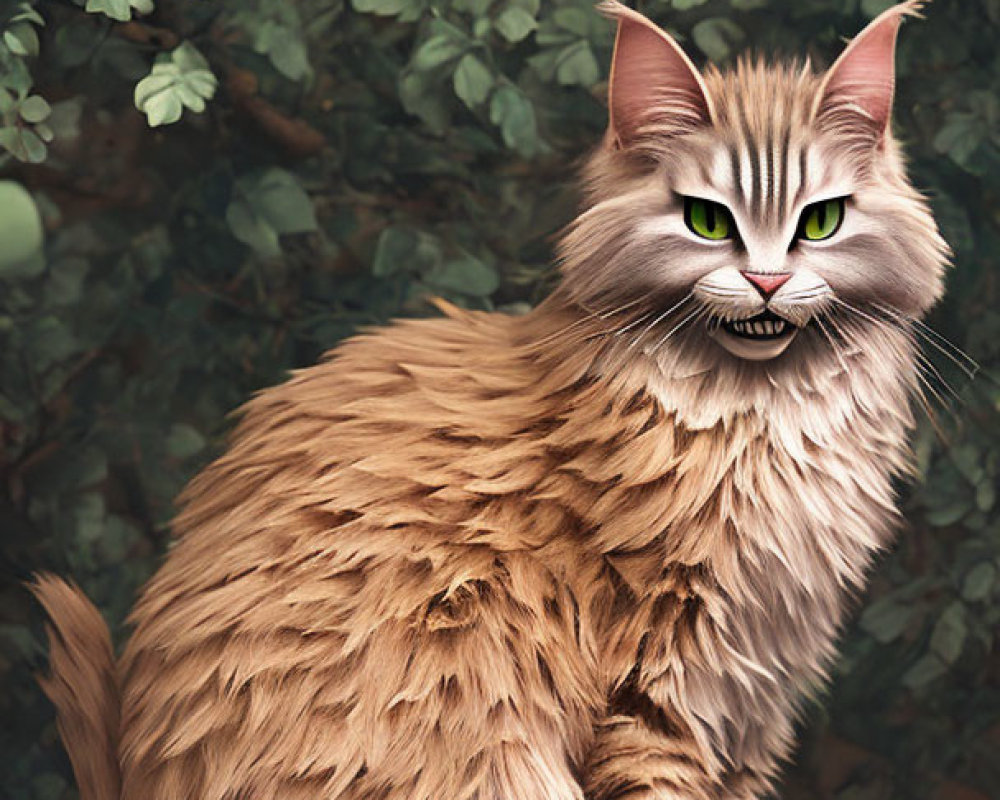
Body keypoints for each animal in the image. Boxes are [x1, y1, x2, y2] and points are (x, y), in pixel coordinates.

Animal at [35, 1, 948, 800]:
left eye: (820, 223)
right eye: (707, 222)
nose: (766, 282)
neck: (761, 420)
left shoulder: (755, 700)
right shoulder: (660, 685)